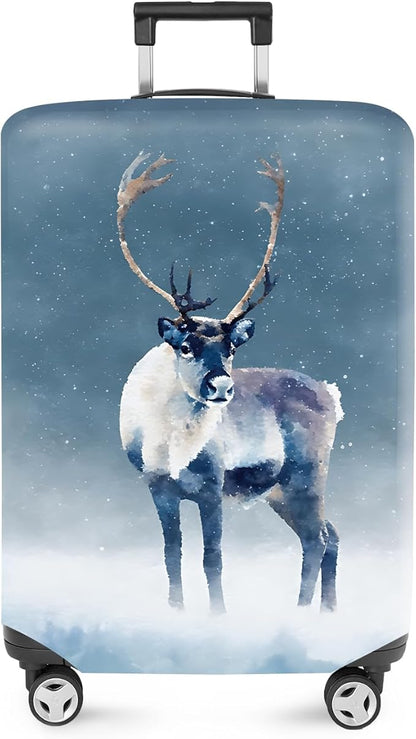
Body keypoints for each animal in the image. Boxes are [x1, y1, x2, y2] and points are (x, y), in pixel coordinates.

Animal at [117, 152, 343, 615]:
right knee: (330, 535)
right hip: (279, 491)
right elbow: (172, 553)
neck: (171, 444)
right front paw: (176, 611)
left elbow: (213, 557)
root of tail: (332, 393)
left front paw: (219, 615)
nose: (221, 387)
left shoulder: (212, 486)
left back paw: (300, 613)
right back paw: (327, 613)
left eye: (232, 348)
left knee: (317, 539)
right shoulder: (158, 488)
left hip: (307, 475)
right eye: (186, 345)